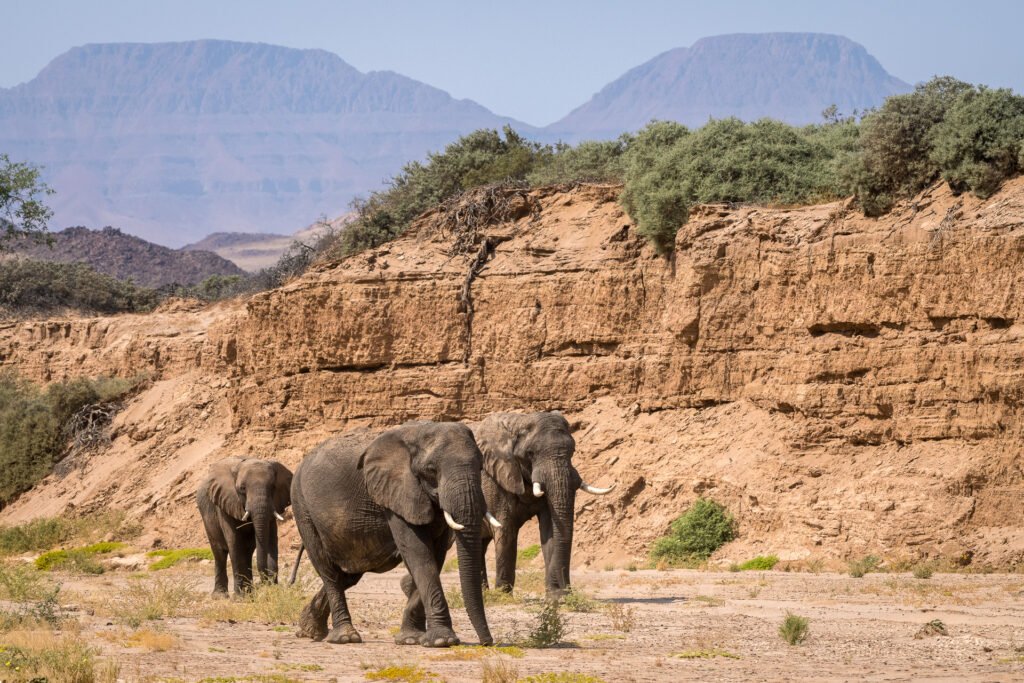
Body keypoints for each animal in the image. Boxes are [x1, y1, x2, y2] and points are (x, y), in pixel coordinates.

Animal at [196, 456, 293, 595]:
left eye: (273, 487)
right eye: (242, 488)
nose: (265, 584)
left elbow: (271, 540)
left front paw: (274, 590)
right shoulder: (225, 502)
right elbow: (234, 542)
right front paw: (240, 597)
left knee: (247, 552)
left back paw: (249, 591)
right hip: (206, 517)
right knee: (219, 554)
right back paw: (220, 595)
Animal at [291, 421, 495, 647]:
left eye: (480, 467)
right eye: (431, 470)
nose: (487, 642)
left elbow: (435, 555)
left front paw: (411, 639)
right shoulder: (395, 493)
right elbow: (418, 553)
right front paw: (443, 640)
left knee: (349, 574)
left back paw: (309, 630)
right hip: (302, 507)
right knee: (329, 571)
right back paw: (344, 637)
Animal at [473, 412, 614, 595]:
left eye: (573, 451)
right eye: (530, 453)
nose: (565, 589)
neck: (518, 421)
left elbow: (550, 529)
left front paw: (556, 596)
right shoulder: (496, 480)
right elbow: (506, 531)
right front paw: (503, 596)